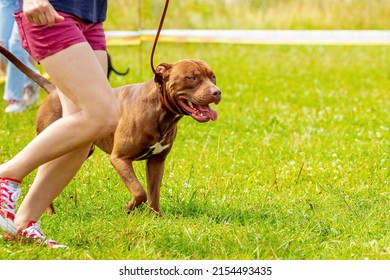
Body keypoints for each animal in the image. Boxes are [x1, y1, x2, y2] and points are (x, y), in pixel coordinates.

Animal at [0, 44, 221, 214]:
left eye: (213, 77)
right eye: (191, 77)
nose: (217, 92)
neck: (161, 111)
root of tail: (54, 90)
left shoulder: (157, 161)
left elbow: (153, 193)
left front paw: (156, 218)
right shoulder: (120, 158)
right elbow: (140, 192)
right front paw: (130, 207)